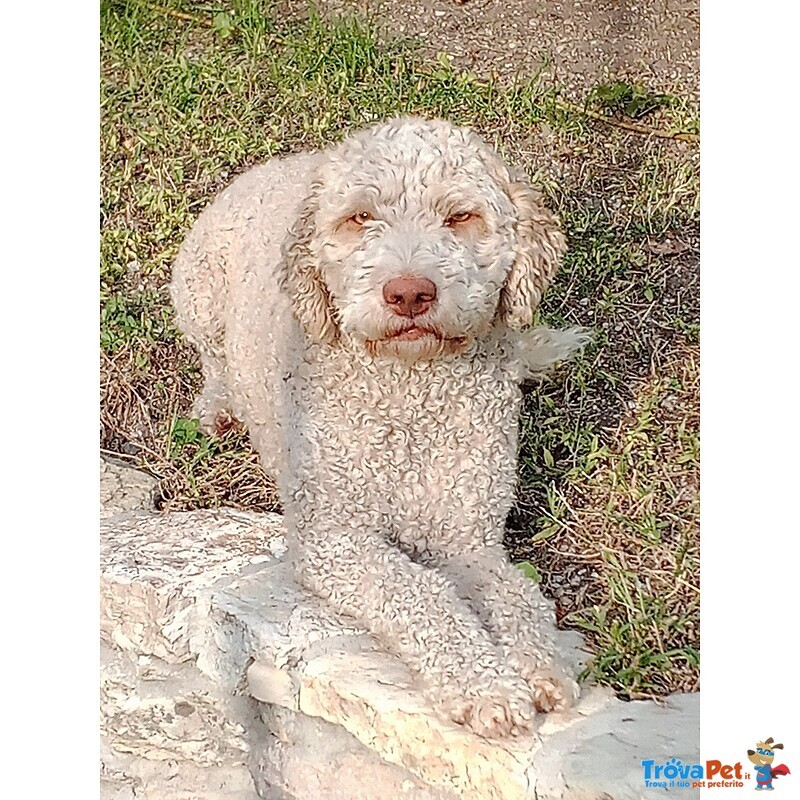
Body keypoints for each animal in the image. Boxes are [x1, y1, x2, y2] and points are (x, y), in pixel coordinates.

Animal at [172, 117, 588, 736]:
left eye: (460, 217)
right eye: (359, 218)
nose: (410, 293)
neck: (407, 393)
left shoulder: (469, 538)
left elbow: (515, 597)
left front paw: (539, 664)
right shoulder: (333, 538)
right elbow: (421, 591)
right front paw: (485, 685)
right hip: (198, 296)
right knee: (214, 361)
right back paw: (219, 406)